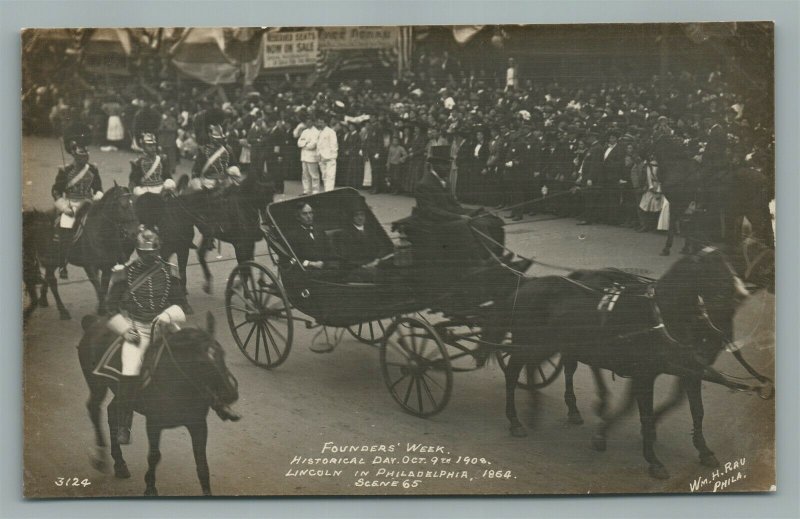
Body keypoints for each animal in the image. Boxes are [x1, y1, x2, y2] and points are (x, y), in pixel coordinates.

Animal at [21, 185, 140, 322]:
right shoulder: (90, 267)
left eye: (135, 205)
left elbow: (104, 287)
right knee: (52, 281)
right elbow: (98, 287)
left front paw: (104, 308)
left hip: (55, 260)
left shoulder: (107, 266)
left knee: (48, 277)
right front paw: (103, 309)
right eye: (123, 205)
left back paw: (43, 300)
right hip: (51, 259)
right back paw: (63, 311)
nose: (134, 232)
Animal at [77, 312, 241, 496]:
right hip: (97, 386)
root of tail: (94, 322)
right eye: (202, 362)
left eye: (222, 354)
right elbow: (154, 456)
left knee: (112, 412)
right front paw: (150, 487)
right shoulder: (154, 423)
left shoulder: (198, 424)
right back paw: (101, 459)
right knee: (94, 410)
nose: (231, 393)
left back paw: (119, 463)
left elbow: (202, 463)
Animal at [500, 250, 768, 482]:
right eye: (715, 276)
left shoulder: (687, 372)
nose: (717, 344)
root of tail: (528, 285)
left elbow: (695, 410)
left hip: (553, 345)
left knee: (544, 367)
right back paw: (516, 420)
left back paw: (540, 408)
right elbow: (644, 413)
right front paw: (653, 460)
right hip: (531, 343)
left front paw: (703, 450)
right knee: (514, 372)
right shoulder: (645, 374)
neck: (660, 316)